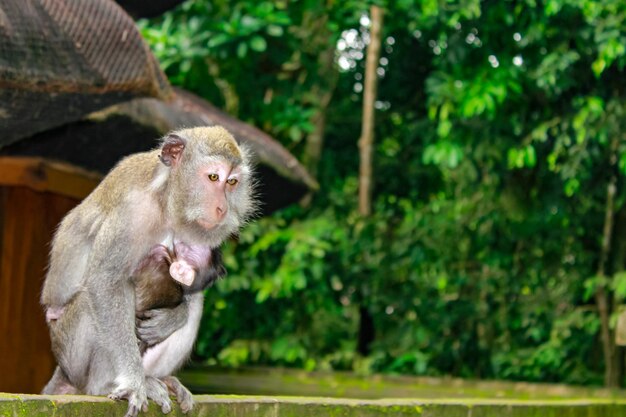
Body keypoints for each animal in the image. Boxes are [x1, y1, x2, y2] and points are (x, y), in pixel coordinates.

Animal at [40, 126, 254, 416]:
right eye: (213, 177)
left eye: (232, 182)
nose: (222, 208)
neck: (166, 202)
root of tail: (63, 372)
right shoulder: (132, 211)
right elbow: (105, 282)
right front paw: (133, 382)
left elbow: (189, 293)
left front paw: (172, 318)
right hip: (71, 355)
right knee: (91, 300)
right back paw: (109, 384)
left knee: (196, 303)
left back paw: (158, 378)